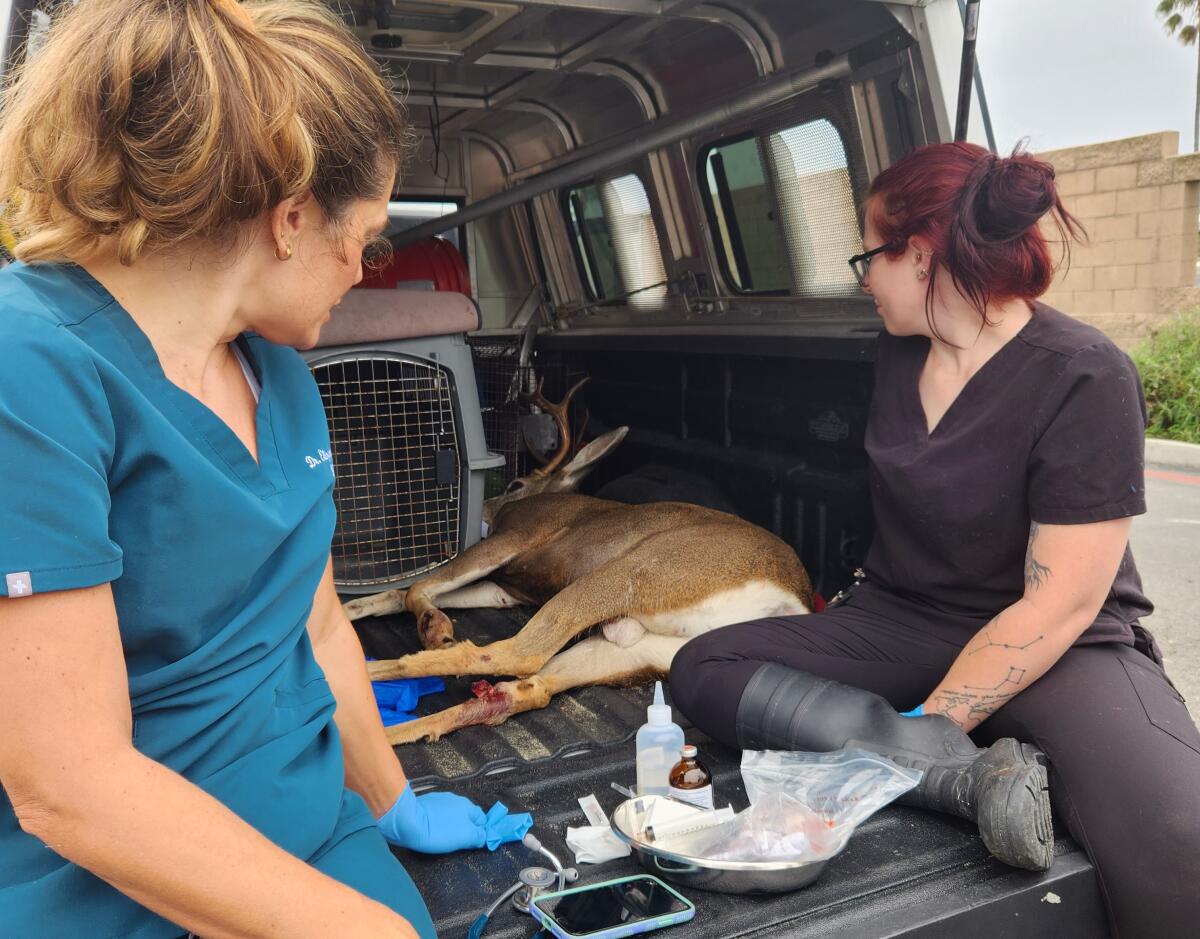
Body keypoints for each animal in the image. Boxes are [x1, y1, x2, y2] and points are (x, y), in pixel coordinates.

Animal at [348, 379, 816, 744]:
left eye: (515, 483)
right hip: (641, 650)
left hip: (633, 572)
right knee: (526, 689)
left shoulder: (514, 537)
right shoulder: (507, 589)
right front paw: (358, 608)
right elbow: (402, 592)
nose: (487, 509)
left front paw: (436, 628)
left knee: (515, 654)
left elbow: (417, 587)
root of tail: (789, 602)